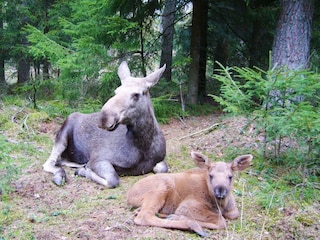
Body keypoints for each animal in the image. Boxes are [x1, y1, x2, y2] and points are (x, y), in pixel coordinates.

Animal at [126, 152, 254, 236]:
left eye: (230, 176)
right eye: (211, 175)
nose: (220, 191)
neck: (220, 204)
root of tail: (129, 195)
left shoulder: (232, 210)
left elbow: (233, 214)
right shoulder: (187, 206)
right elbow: (221, 221)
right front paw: (180, 217)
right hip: (160, 188)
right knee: (144, 216)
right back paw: (191, 225)